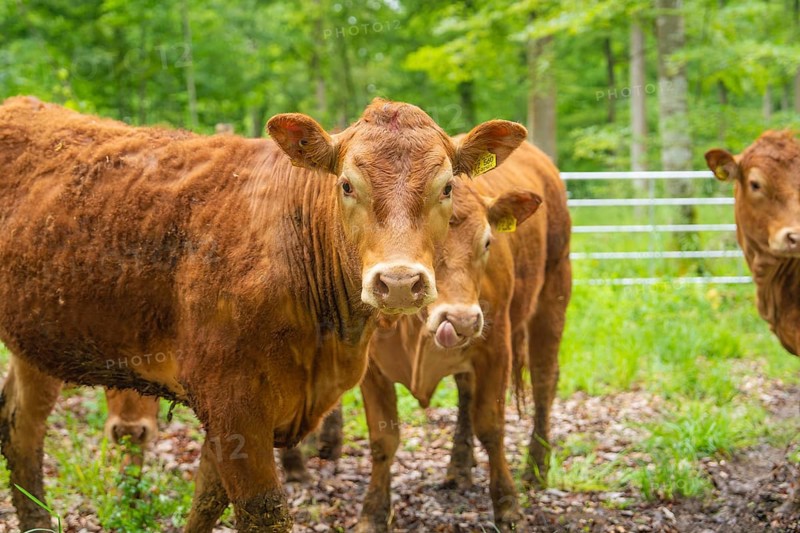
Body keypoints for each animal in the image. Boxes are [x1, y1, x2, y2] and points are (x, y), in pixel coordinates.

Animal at [0, 95, 526, 532]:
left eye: (447, 186)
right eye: (347, 184)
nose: (398, 281)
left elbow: (207, 498)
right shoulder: (232, 398)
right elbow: (260, 510)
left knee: (21, 427)